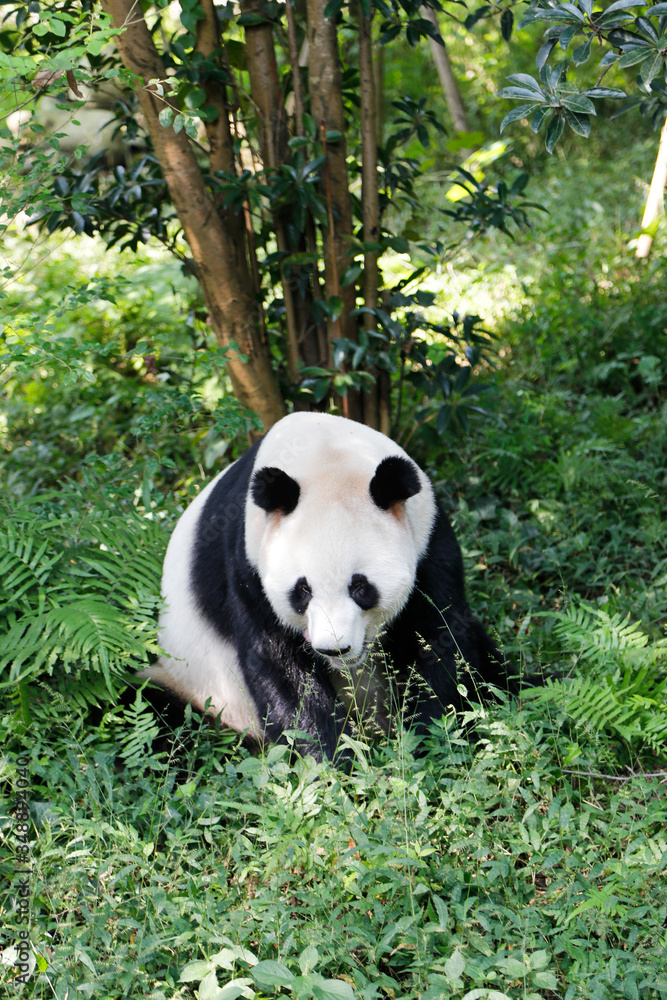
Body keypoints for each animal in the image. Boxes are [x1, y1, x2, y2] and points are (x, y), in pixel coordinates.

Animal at [142, 411, 508, 760]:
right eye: (302, 591)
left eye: (360, 588)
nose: (335, 649)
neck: (325, 452)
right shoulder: (248, 563)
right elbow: (280, 667)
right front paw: (333, 763)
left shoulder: (428, 540)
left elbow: (438, 637)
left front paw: (427, 740)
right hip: (199, 688)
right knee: (155, 711)